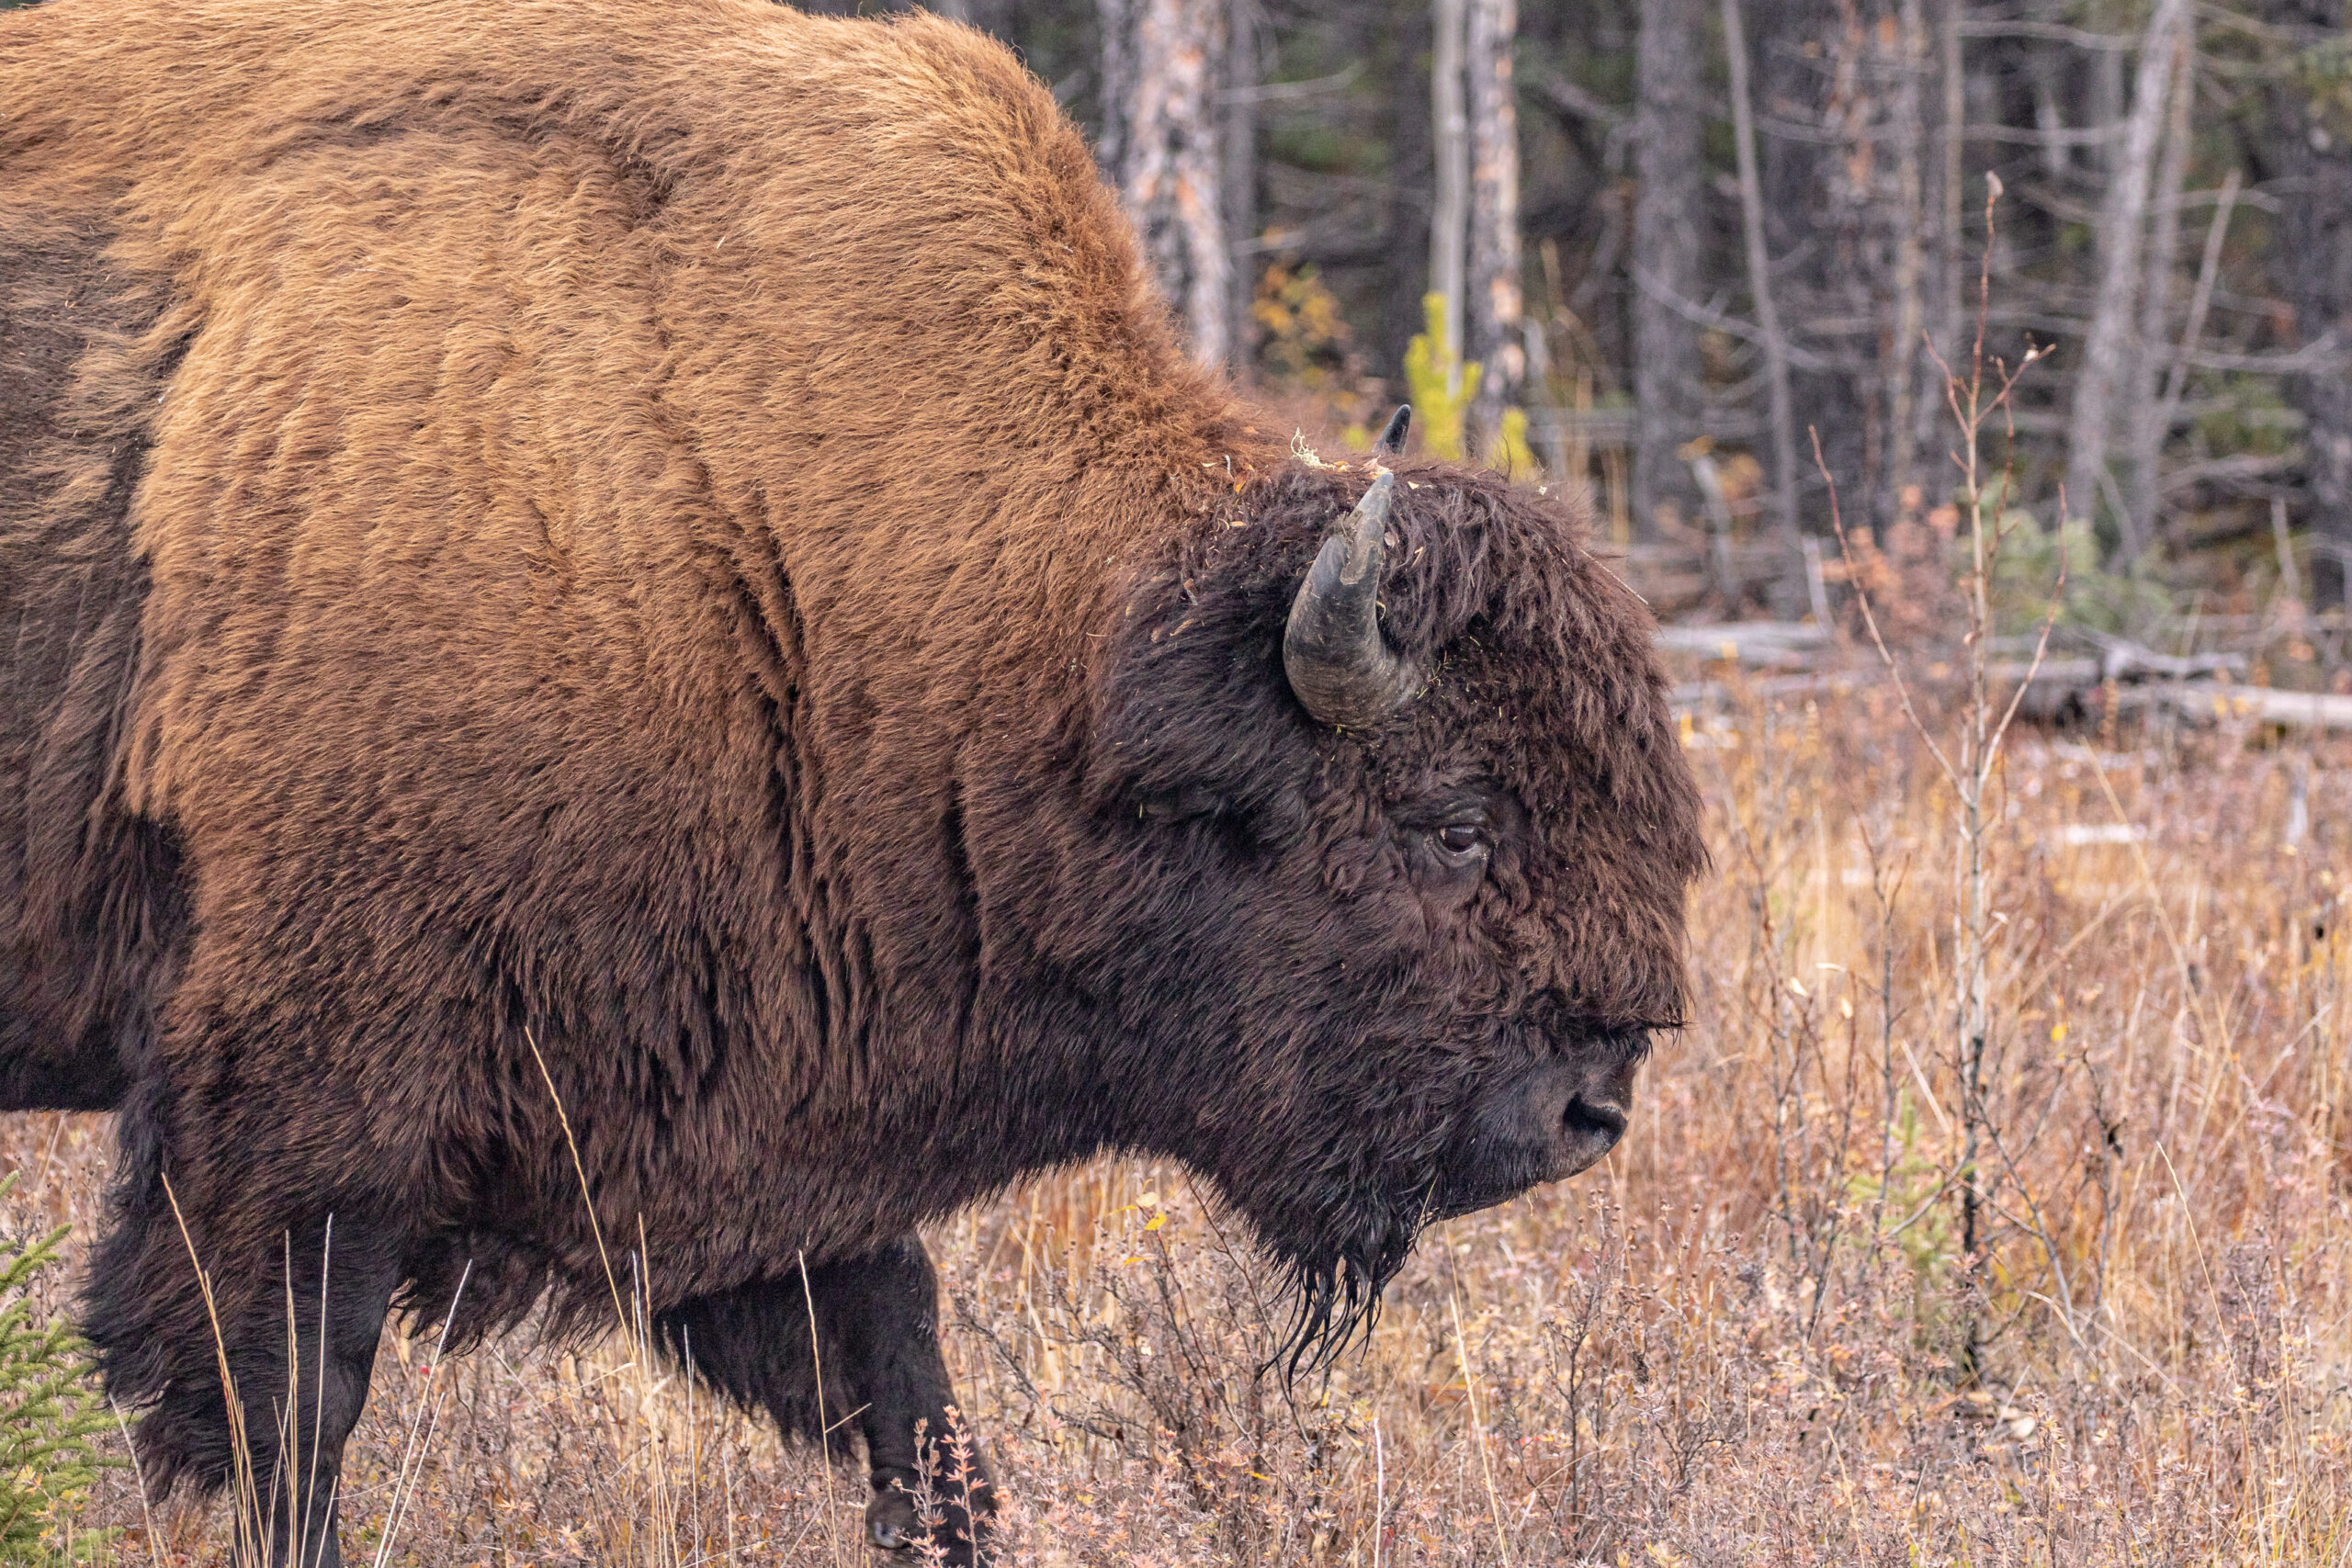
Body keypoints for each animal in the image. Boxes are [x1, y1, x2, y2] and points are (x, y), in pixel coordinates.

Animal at [0, 0, 1706, 1562]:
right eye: (1452, 822)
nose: (1589, 1104)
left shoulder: (765, 1114)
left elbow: (909, 1399)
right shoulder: (296, 1113)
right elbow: (286, 1411)